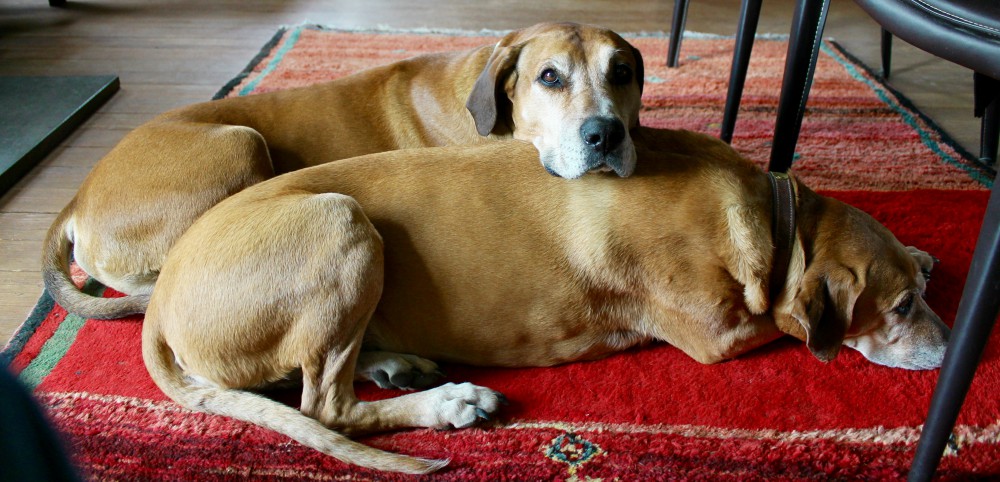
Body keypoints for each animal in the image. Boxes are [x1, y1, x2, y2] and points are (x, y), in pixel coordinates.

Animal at [141, 128, 950, 474]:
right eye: (901, 310)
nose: (951, 347)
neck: (783, 228)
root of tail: (159, 298)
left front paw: (927, 251)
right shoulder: (718, 333)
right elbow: (783, 325)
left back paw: (397, 364)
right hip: (344, 224)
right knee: (323, 404)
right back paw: (448, 403)